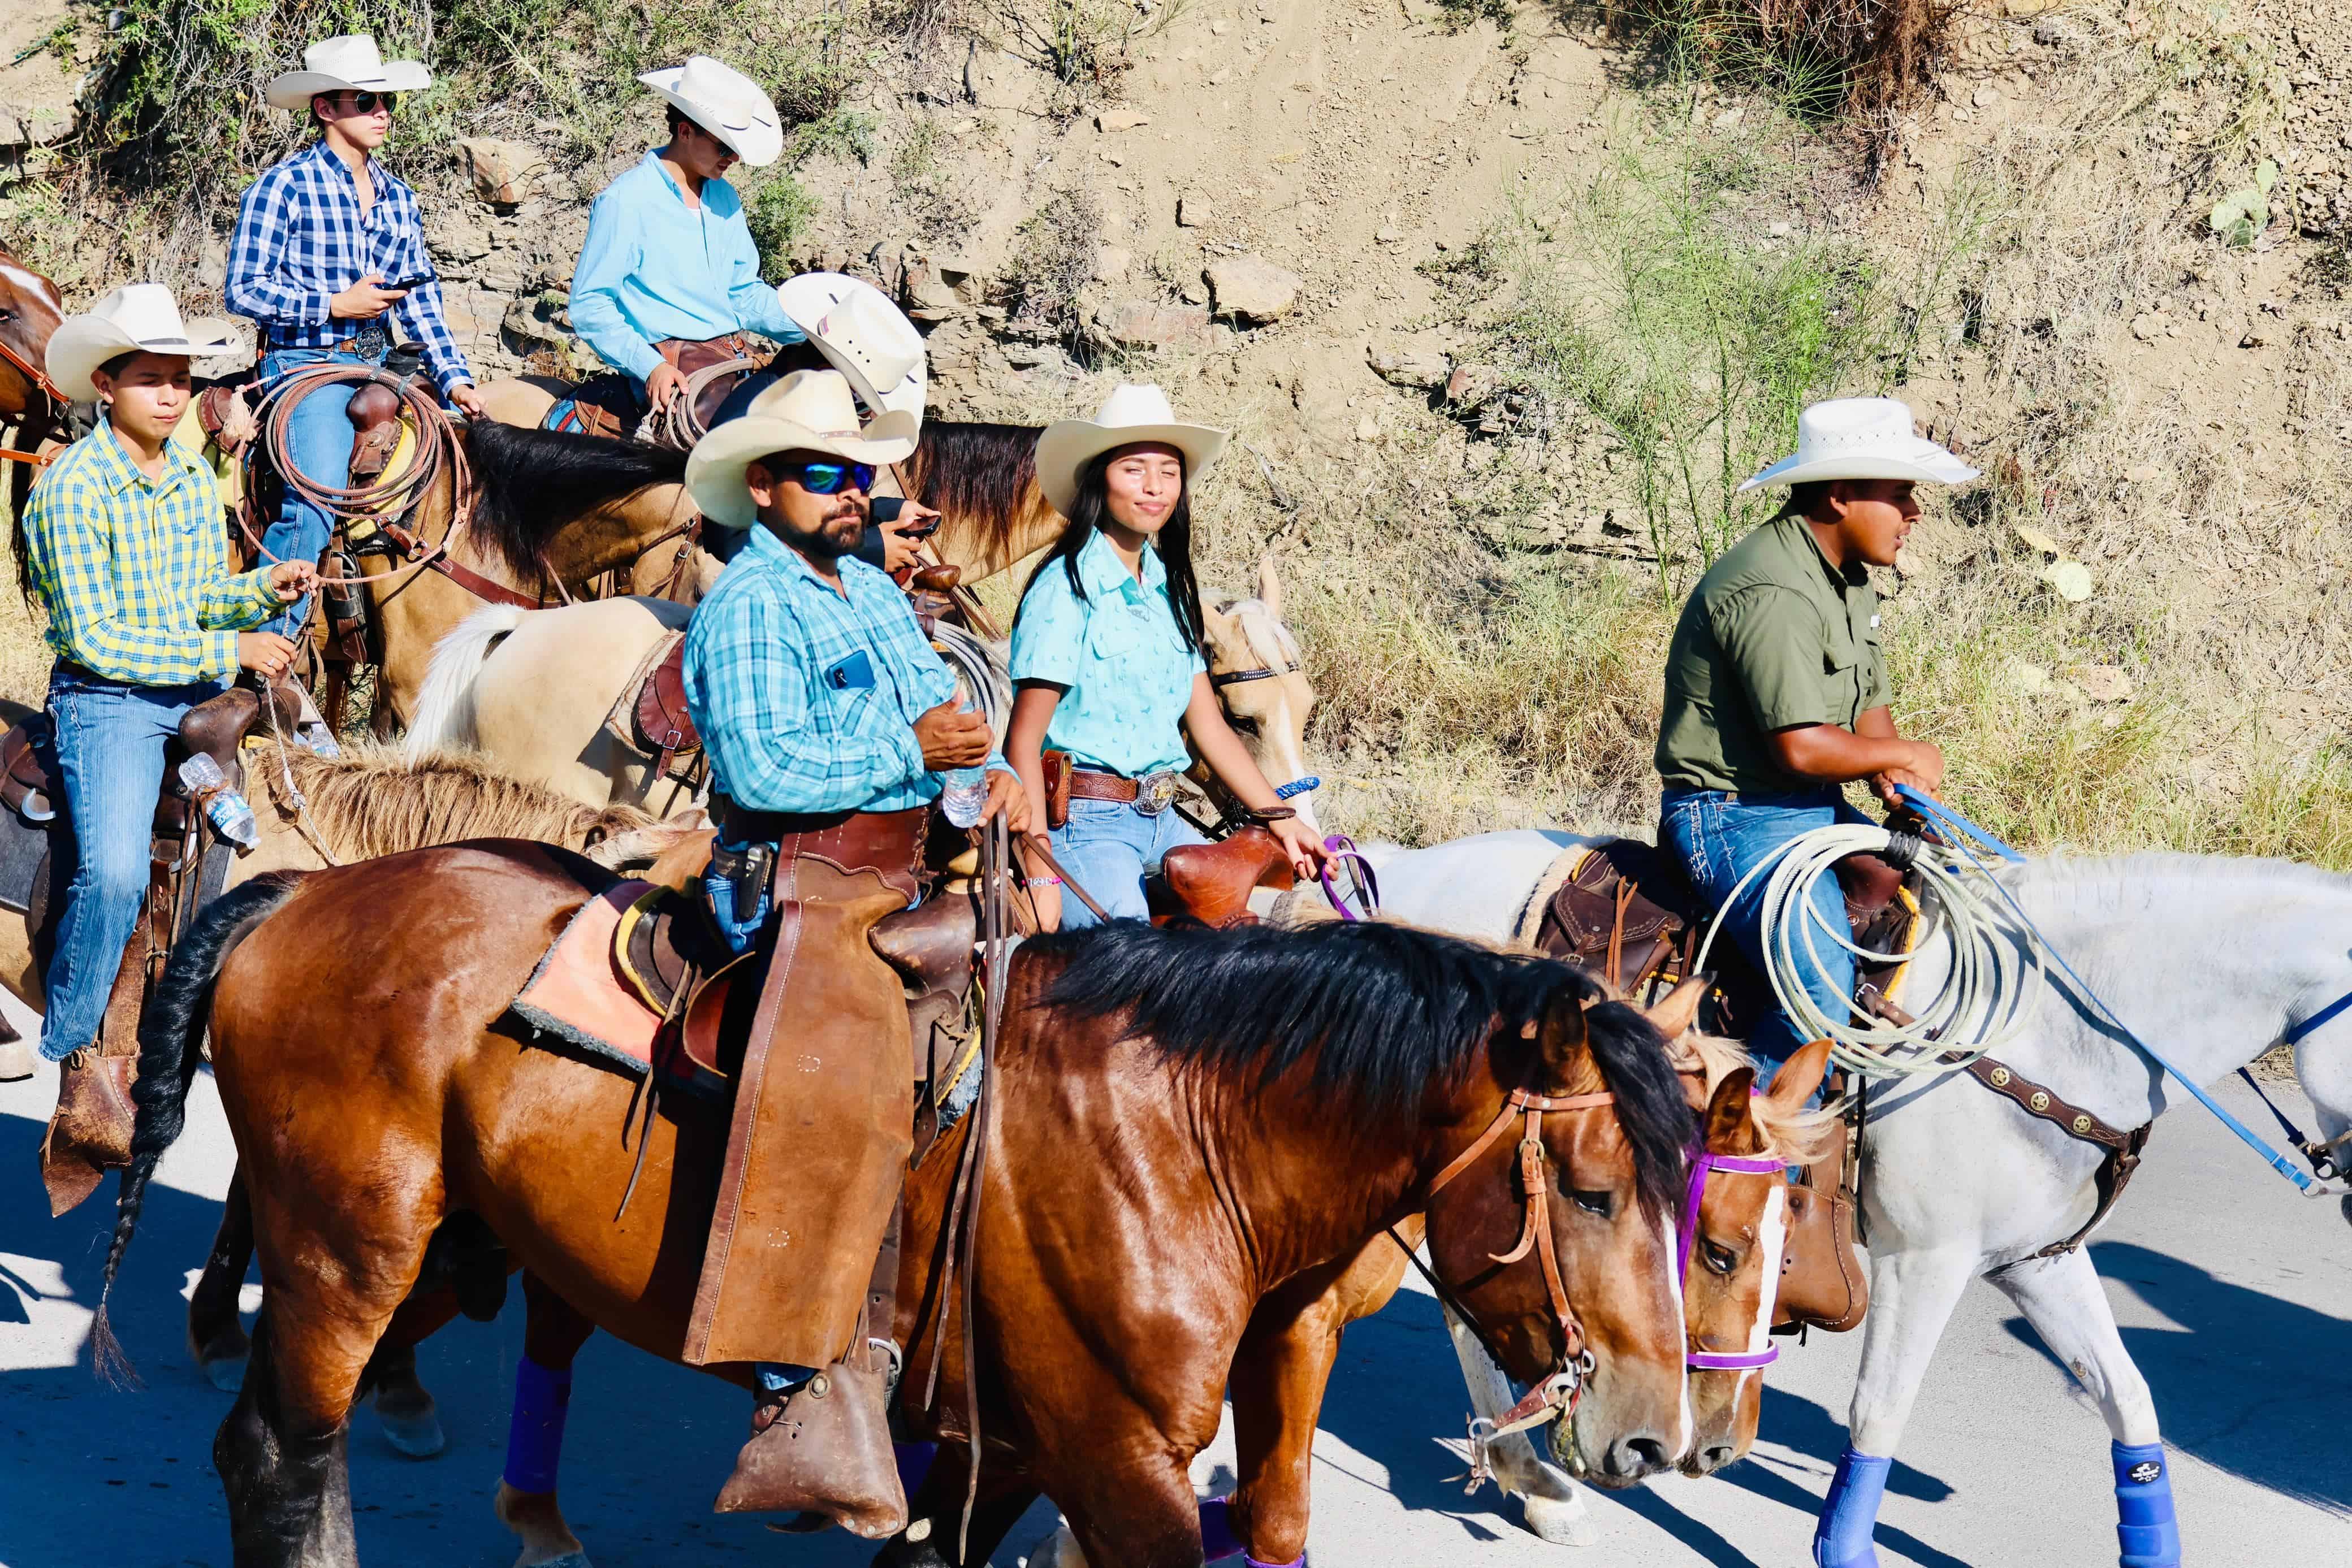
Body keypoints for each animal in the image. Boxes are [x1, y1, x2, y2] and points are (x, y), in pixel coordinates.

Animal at [96, 860, 1712, 1568]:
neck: (1177, 1140)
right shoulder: (1115, 1465)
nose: (1650, 1437)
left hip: (449, 1250)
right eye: (1591, 1189)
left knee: (288, 1434)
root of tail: (303, 896)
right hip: (346, 1248)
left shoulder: (1014, 1448)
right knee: (284, 1454)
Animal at [1355, 827, 2342, 1561]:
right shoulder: (1926, 1260)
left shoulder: (2036, 1259)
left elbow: (2129, 1398)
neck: (2046, 1029)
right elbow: (1880, 1411)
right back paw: (1537, 1481)